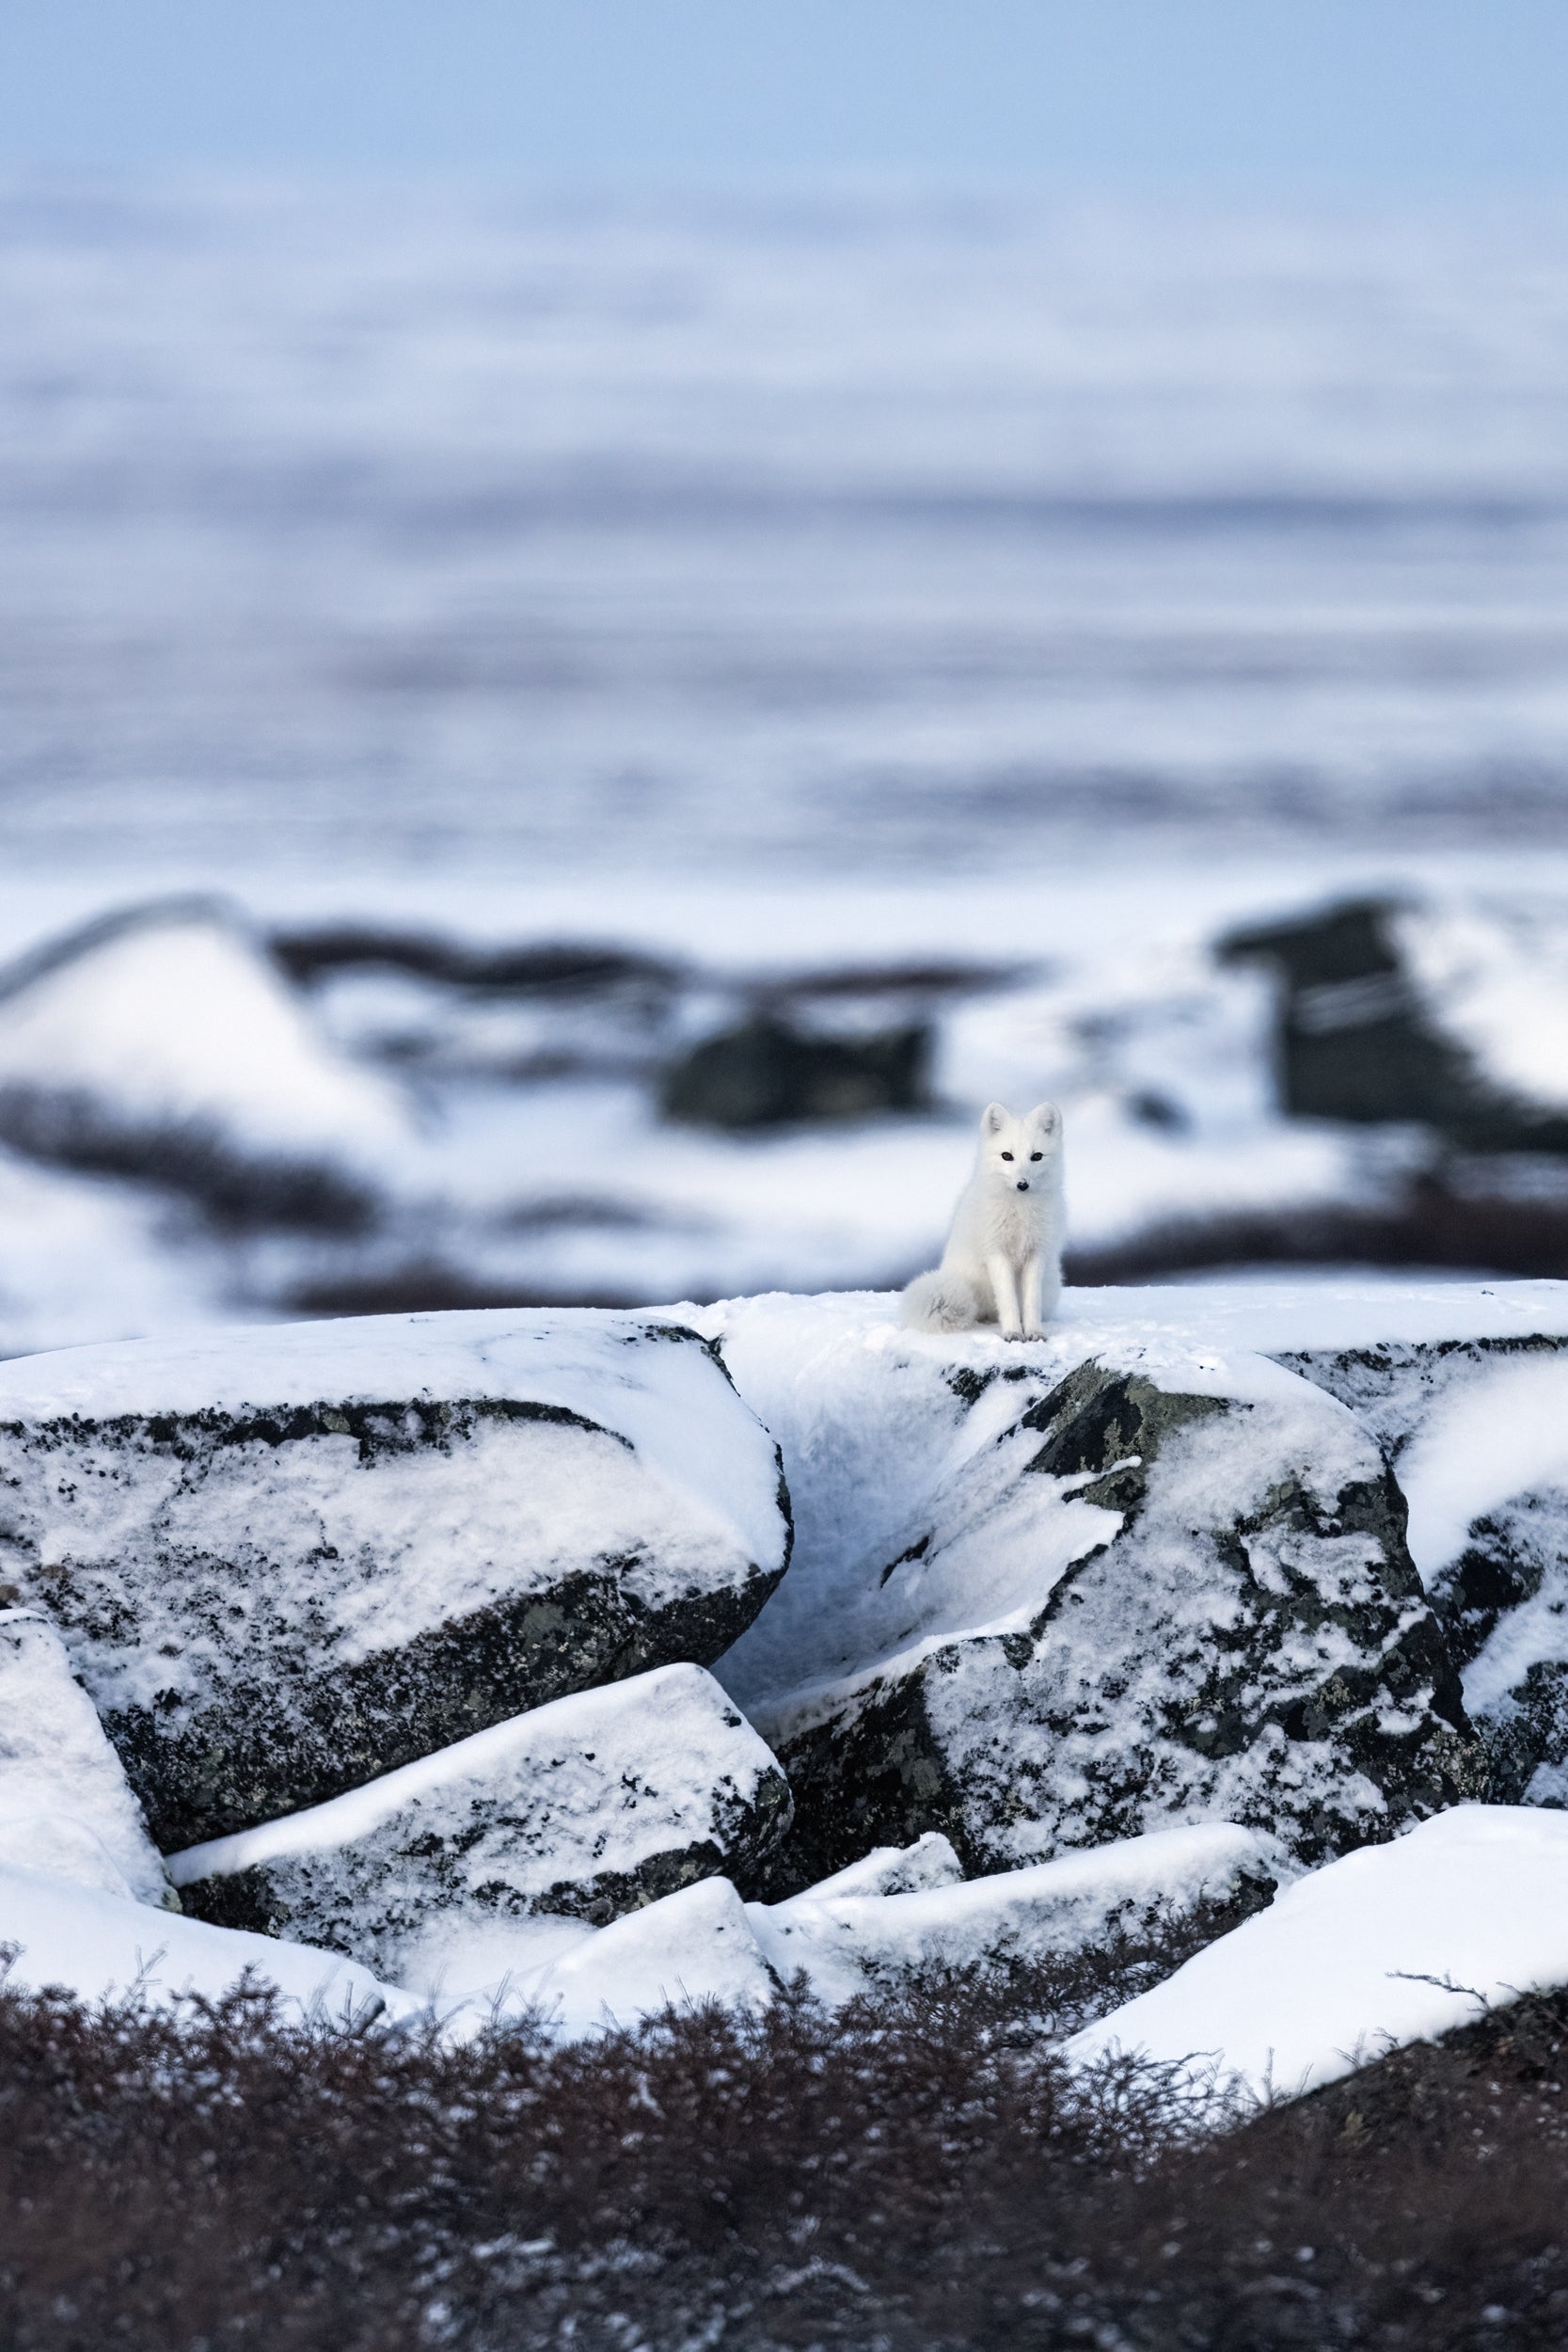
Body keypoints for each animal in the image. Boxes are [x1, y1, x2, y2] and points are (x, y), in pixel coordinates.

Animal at [899, 1100, 1064, 1340]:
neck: (1019, 1212)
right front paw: (1013, 1333)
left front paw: (1034, 1332)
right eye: (1007, 1156)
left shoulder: (1037, 1253)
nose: (1022, 1184)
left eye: (1037, 1156)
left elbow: (1032, 1302)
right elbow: (1008, 1301)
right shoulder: (996, 1252)